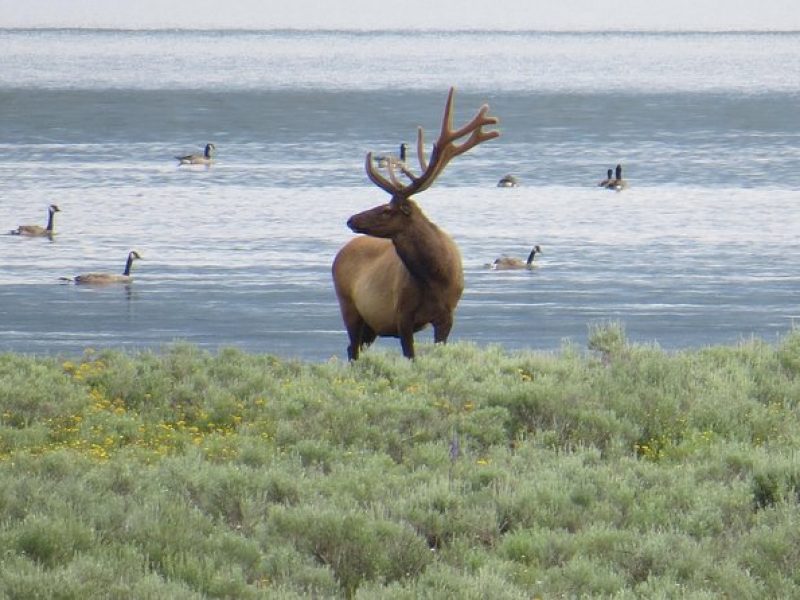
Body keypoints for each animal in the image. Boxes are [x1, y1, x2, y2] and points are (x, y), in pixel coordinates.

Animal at [332, 88, 500, 358]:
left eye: (387, 209)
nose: (351, 220)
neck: (434, 278)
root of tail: (340, 253)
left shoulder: (446, 316)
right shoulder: (401, 314)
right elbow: (411, 356)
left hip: (370, 325)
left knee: (353, 348)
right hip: (348, 306)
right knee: (352, 350)